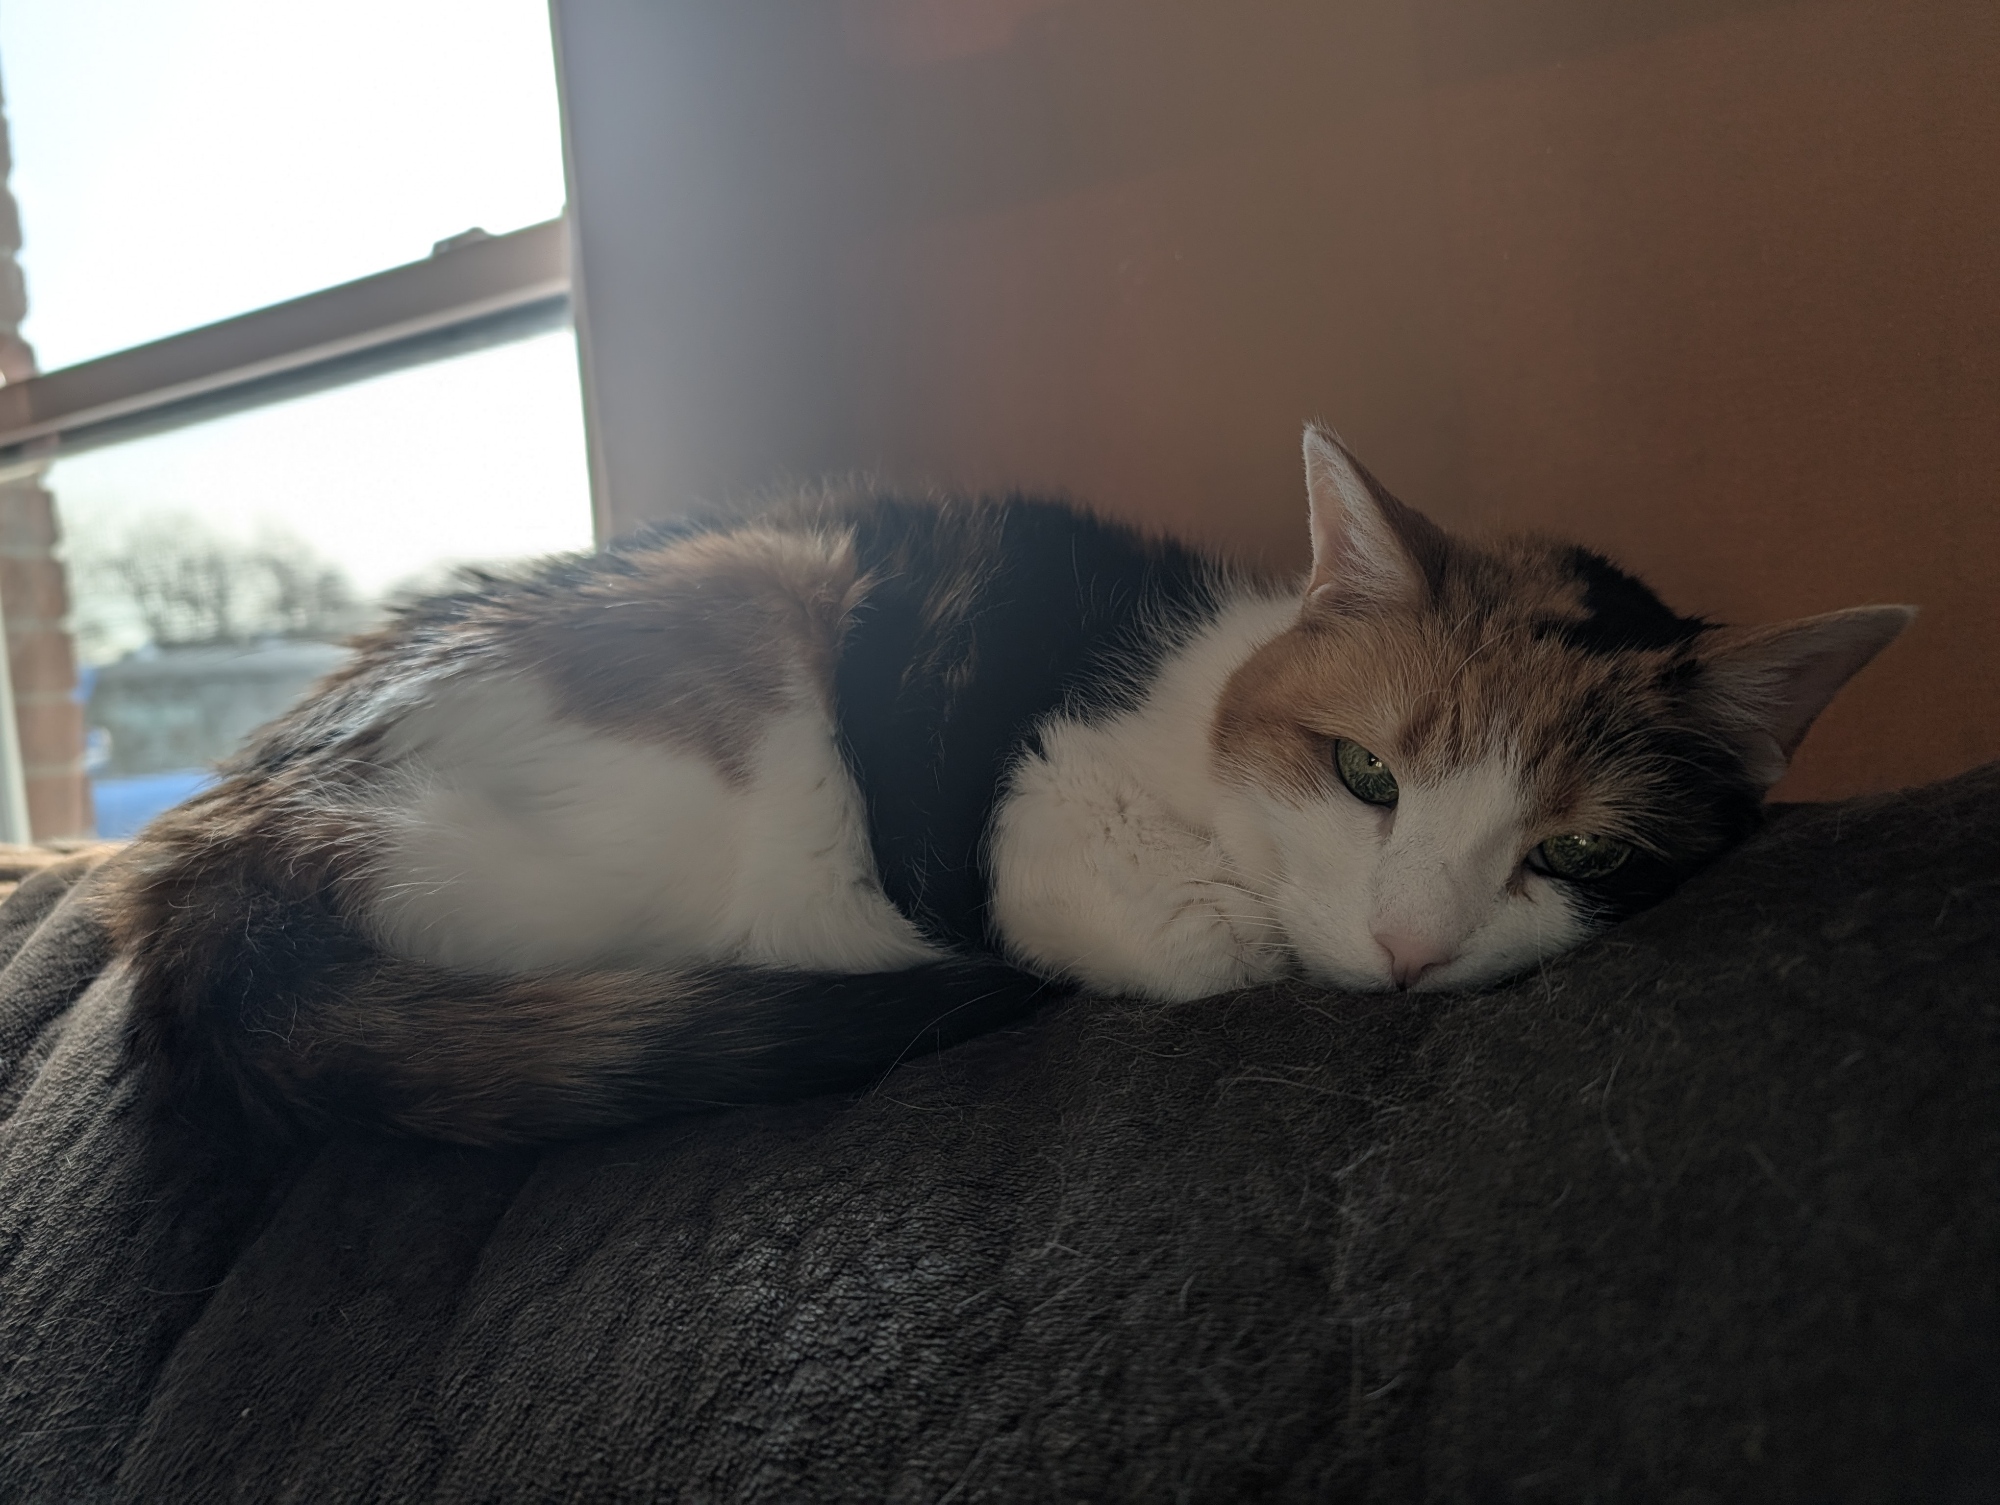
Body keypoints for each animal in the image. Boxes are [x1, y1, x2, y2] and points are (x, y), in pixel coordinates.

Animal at [104, 426, 1912, 1146]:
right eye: (1366, 775)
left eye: (1582, 853)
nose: (1410, 949)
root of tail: (223, 829)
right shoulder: (1039, 821)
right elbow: (1197, 935)